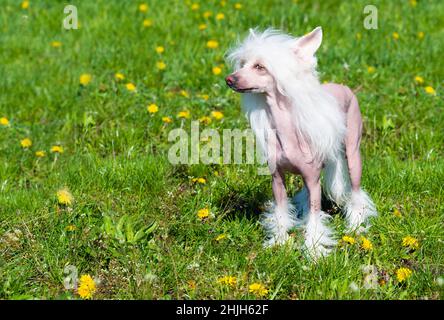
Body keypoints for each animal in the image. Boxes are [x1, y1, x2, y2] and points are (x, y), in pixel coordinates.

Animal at [227, 26, 376, 258]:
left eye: (260, 67)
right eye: (242, 64)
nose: (229, 79)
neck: (287, 131)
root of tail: (343, 86)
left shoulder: (314, 181)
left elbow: (315, 218)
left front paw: (314, 251)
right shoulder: (277, 179)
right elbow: (280, 211)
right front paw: (279, 242)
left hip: (353, 153)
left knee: (356, 191)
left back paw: (356, 226)